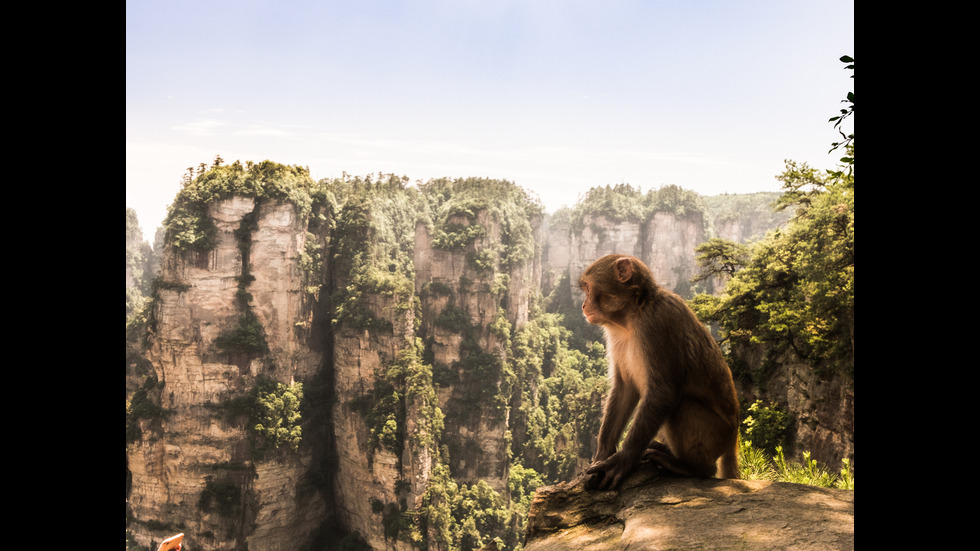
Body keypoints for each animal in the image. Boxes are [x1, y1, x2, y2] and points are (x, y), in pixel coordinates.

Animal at [580, 254, 740, 492]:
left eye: (589, 288)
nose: (583, 304)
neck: (631, 317)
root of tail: (733, 438)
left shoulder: (657, 324)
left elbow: (663, 393)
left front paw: (622, 461)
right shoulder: (615, 335)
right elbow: (624, 388)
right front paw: (603, 454)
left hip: (717, 434)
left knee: (683, 405)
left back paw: (692, 467)